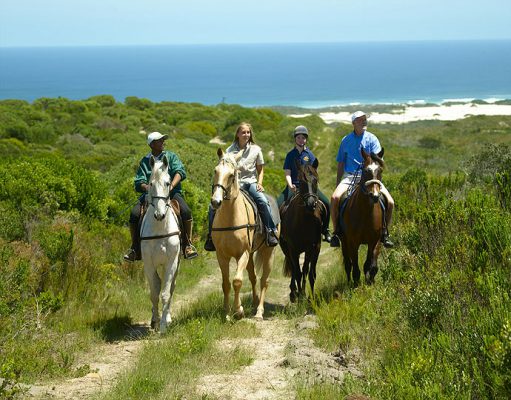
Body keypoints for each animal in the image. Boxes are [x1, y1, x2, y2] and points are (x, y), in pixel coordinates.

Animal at [210, 148, 280, 320]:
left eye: (231, 174)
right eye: (215, 171)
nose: (216, 202)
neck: (230, 217)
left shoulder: (242, 254)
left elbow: (237, 281)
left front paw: (239, 310)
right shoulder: (222, 255)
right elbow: (226, 284)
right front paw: (227, 313)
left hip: (268, 252)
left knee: (264, 280)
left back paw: (259, 312)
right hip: (251, 255)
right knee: (253, 277)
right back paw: (254, 303)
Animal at [280, 162, 324, 304]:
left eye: (315, 180)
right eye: (302, 182)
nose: (311, 204)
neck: (304, 222)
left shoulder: (313, 247)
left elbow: (307, 272)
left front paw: (307, 295)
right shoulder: (293, 249)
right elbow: (298, 272)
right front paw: (299, 296)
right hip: (286, 249)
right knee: (294, 269)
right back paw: (293, 293)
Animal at [338, 148, 386, 286]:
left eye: (380, 170)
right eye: (366, 171)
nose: (375, 196)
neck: (366, 212)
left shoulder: (374, 241)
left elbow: (371, 265)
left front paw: (370, 282)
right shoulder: (353, 242)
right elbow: (355, 267)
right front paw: (356, 285)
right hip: (344, 241)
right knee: (348, 264)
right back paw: (349, 282)